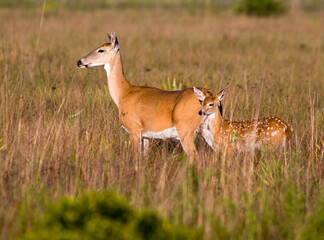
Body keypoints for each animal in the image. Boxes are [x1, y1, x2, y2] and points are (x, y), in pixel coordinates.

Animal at [77, 32, 220, 158]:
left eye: (101, 50)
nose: (79, 61)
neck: (123, 94)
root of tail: (211, 96)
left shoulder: (134, 129)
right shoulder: (145, 136)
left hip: (186, 130)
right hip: (208, 130)